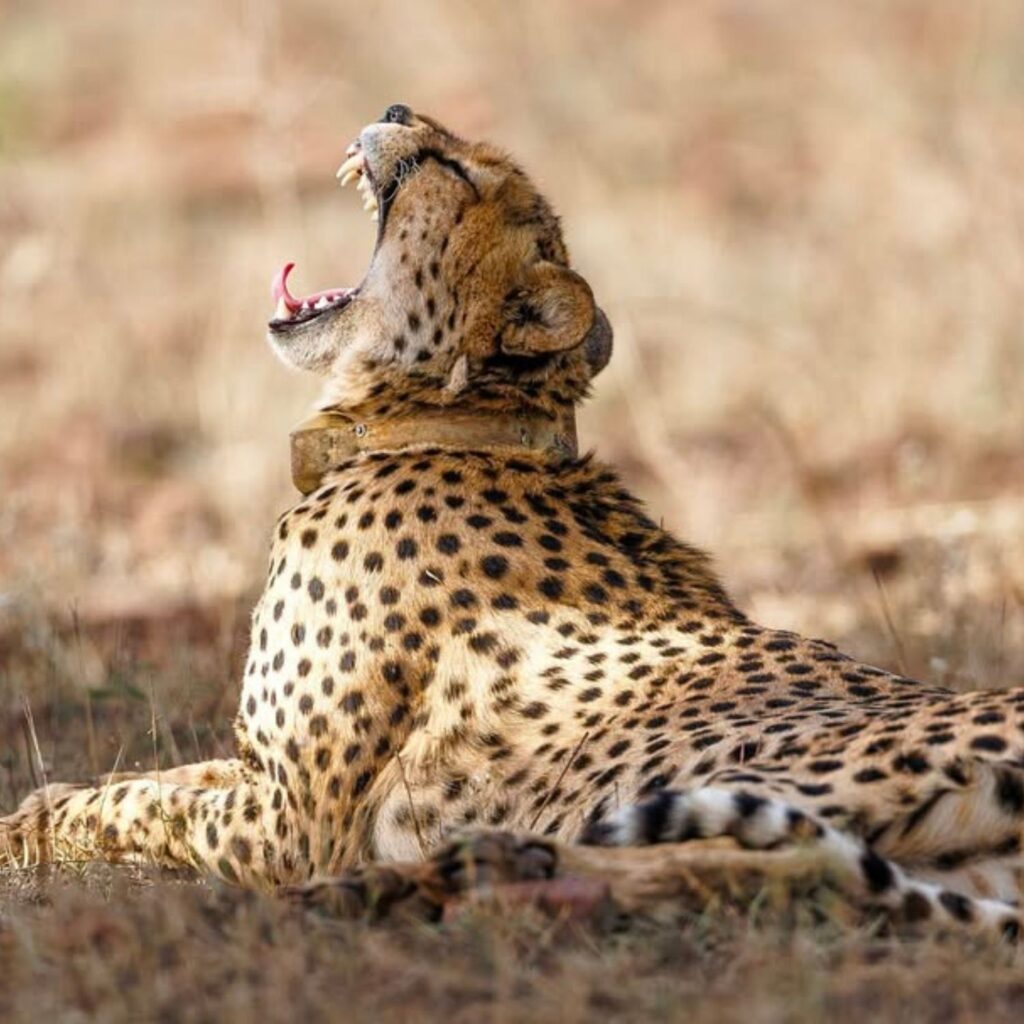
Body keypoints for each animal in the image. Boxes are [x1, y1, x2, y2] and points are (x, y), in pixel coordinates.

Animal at [4, 104, 1024, 939]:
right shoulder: (259, 773)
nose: (393, 108)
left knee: (765, 853)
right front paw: (37, 801)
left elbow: (148, 807)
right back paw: (469, 875)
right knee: (776, 873)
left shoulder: (297, 821)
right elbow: (163, 775)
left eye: (454, 172)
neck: (436, 417)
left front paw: (36, 826)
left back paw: (449, 878)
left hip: (766, 767)